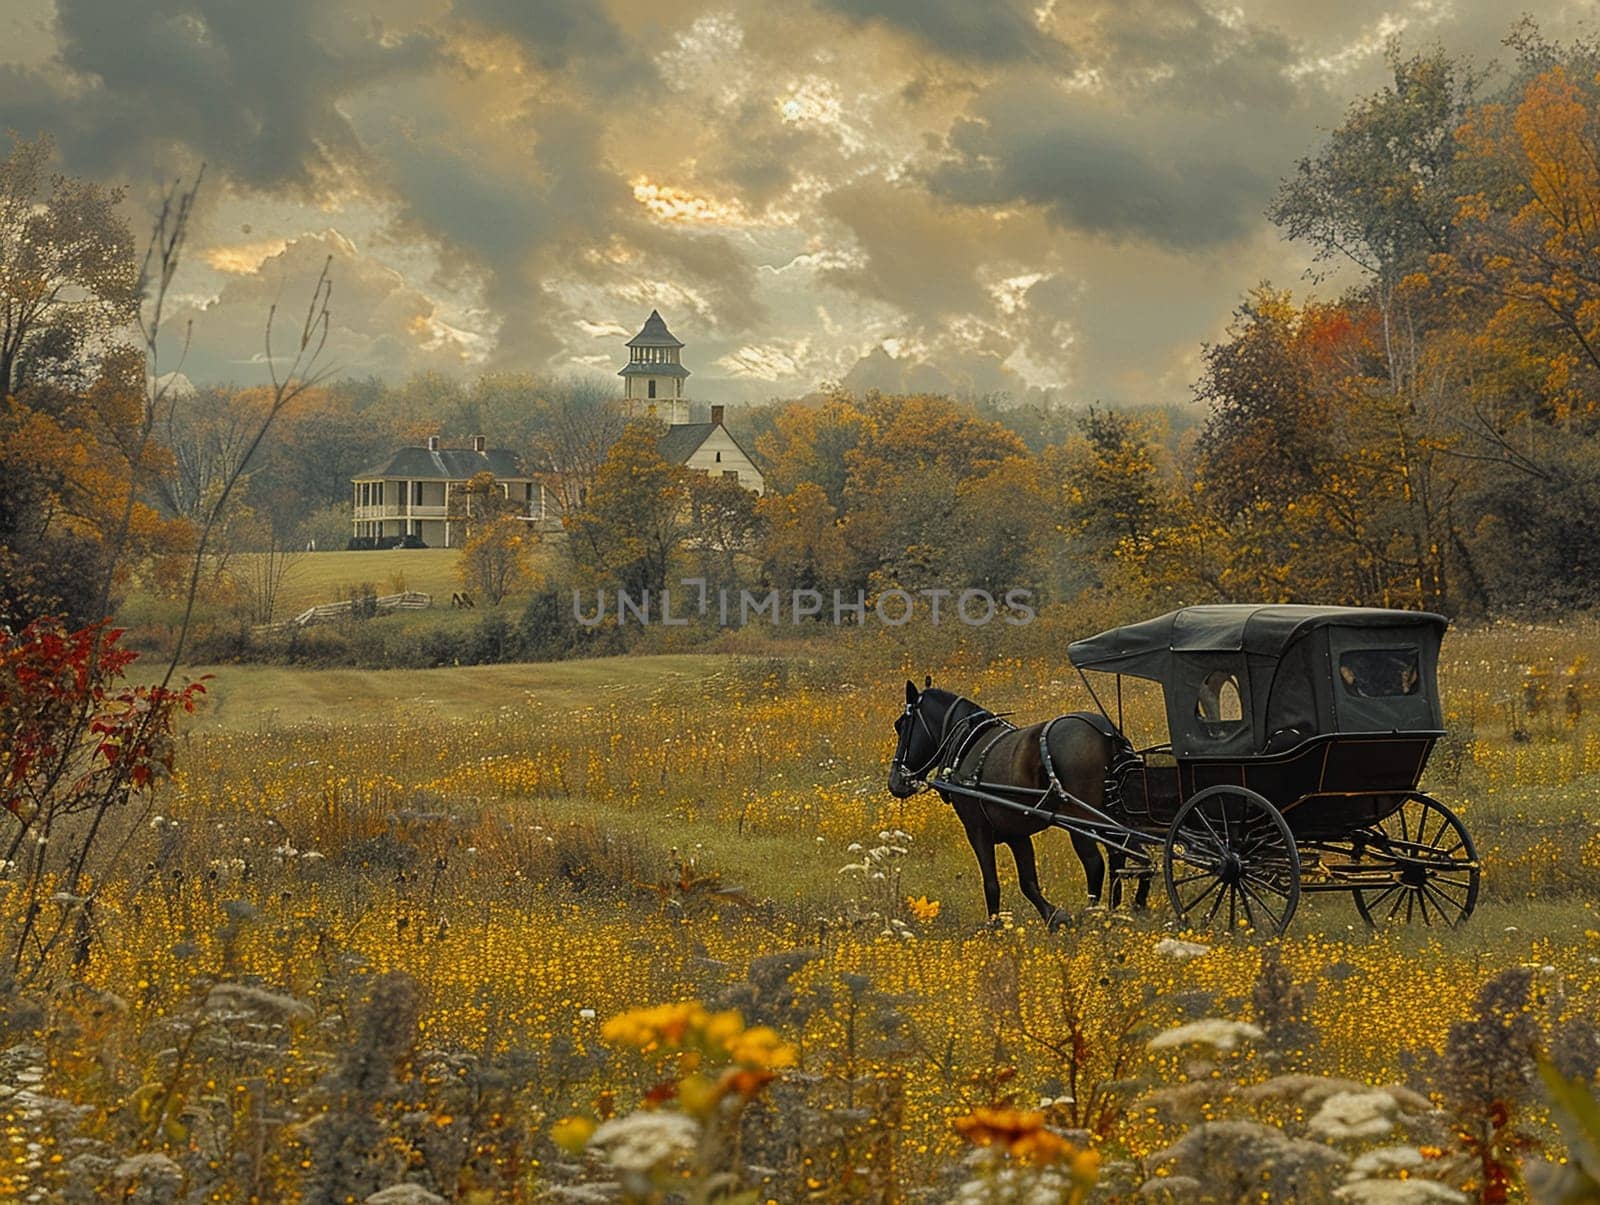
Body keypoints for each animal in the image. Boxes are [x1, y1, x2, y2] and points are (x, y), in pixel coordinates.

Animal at [889, 678, 1152, 928]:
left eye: (901, 724)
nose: (895, 783)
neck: (966, 746)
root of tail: (1108, 733)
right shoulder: (1016, 834)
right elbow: (1028, 882)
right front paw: (1054, 917)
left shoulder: (977, 830)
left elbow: (991, 882)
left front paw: (995, 926)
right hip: (1111, 818)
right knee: (1130, 857)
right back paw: (1121, 909)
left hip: (1084, 820)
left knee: (1097, 863)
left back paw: (1094, 915)